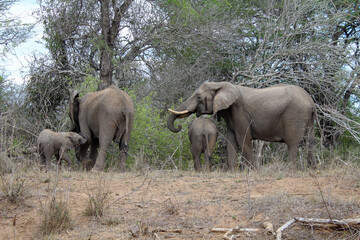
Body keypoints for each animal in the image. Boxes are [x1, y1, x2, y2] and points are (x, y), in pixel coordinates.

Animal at [166, 81, 318, 170]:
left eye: (198, 96)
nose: (179, 127)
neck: (221, 85)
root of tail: (310, 101)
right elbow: (231, 140)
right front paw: (233, 172)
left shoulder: (240, 112)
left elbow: (243, 139)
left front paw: (253, 171)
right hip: (309, 118)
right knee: (310, 141)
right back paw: (312, 170)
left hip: (295, 115)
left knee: (293, 143)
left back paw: (291, 170)